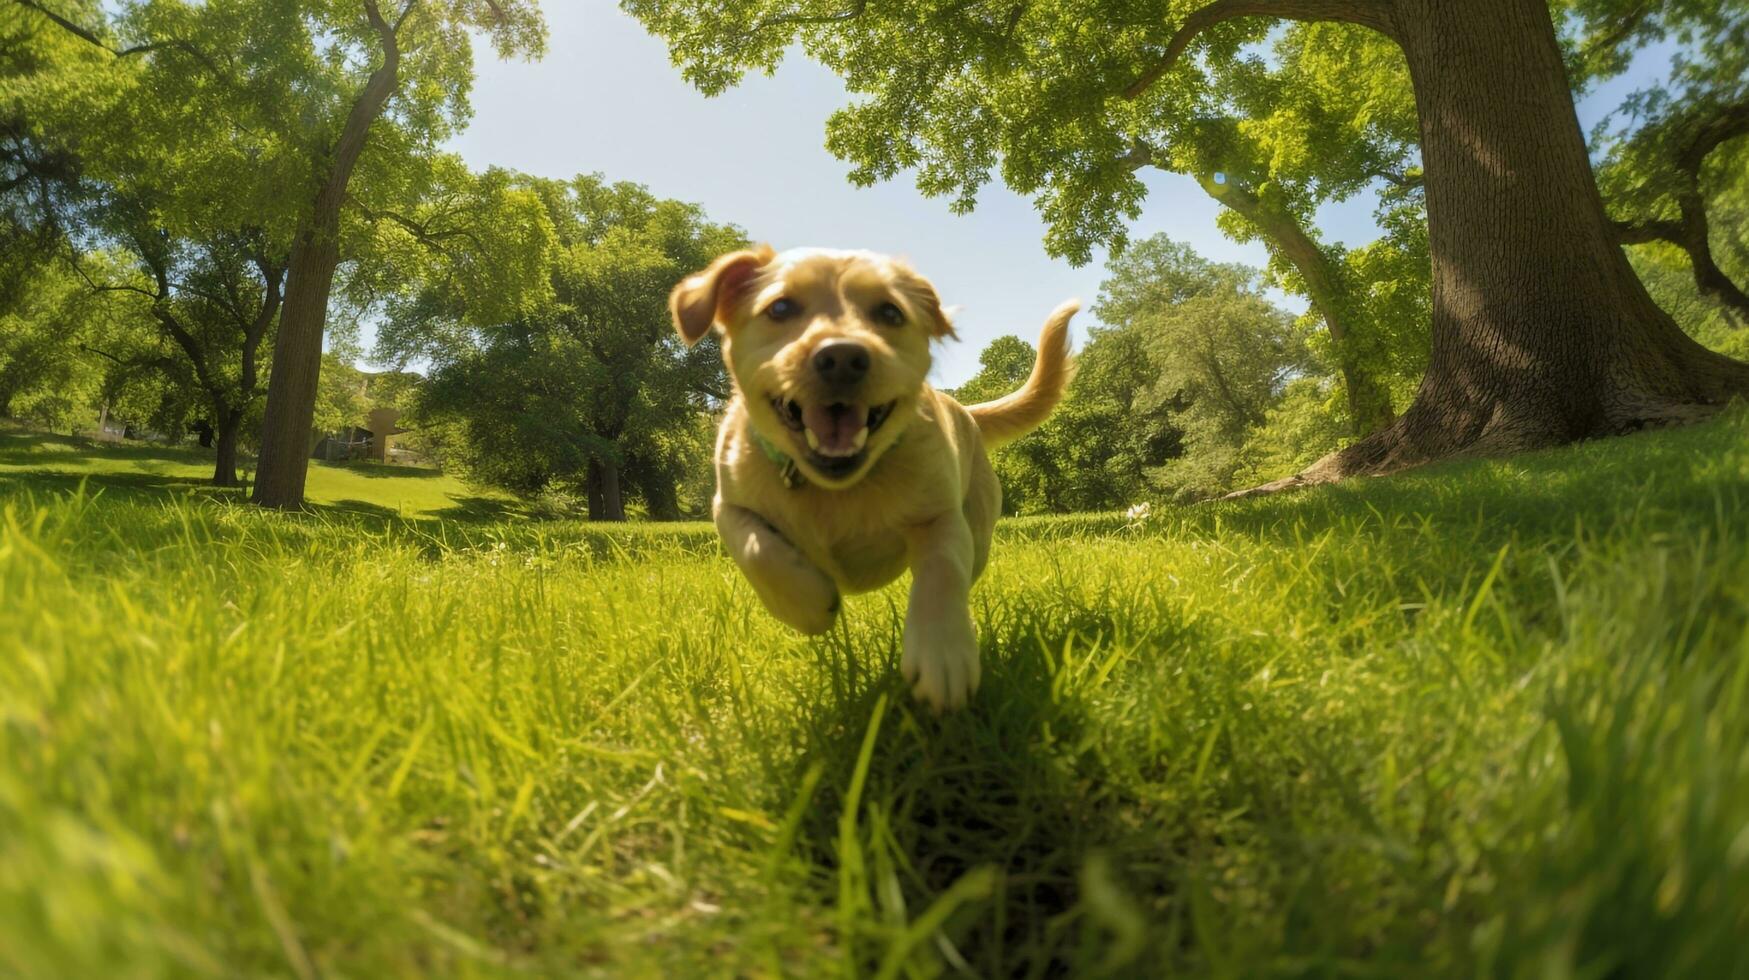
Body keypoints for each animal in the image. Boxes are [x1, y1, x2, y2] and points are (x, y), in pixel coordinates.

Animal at [671, 241, 1070, 707]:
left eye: (890, 313)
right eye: (780, 307)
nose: (842, 356)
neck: (837, 488)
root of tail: (966, 411)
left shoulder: (941, 517)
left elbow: (942, 570)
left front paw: (942, 653)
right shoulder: (727, 504)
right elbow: (756, 548)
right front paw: (808, 603)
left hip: (980, 533)